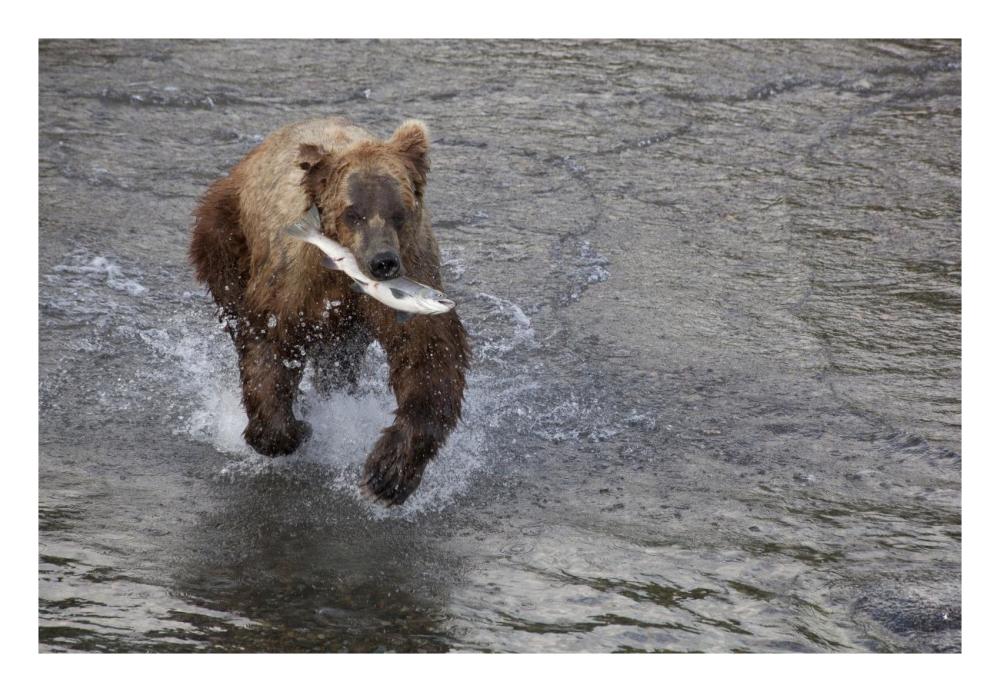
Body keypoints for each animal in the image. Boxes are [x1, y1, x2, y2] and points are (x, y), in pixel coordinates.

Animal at [189, 117, 469, 506]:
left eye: (399, 212)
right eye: (354, 213)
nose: (383, 262)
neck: (343, 274)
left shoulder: (414, 267)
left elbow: (428, 355)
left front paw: (388, 473)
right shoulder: (295, 280)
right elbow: (269, 340)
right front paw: (292, 429)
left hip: (348, 326)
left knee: (339, 358)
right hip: (227, 231)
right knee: (233, 299)